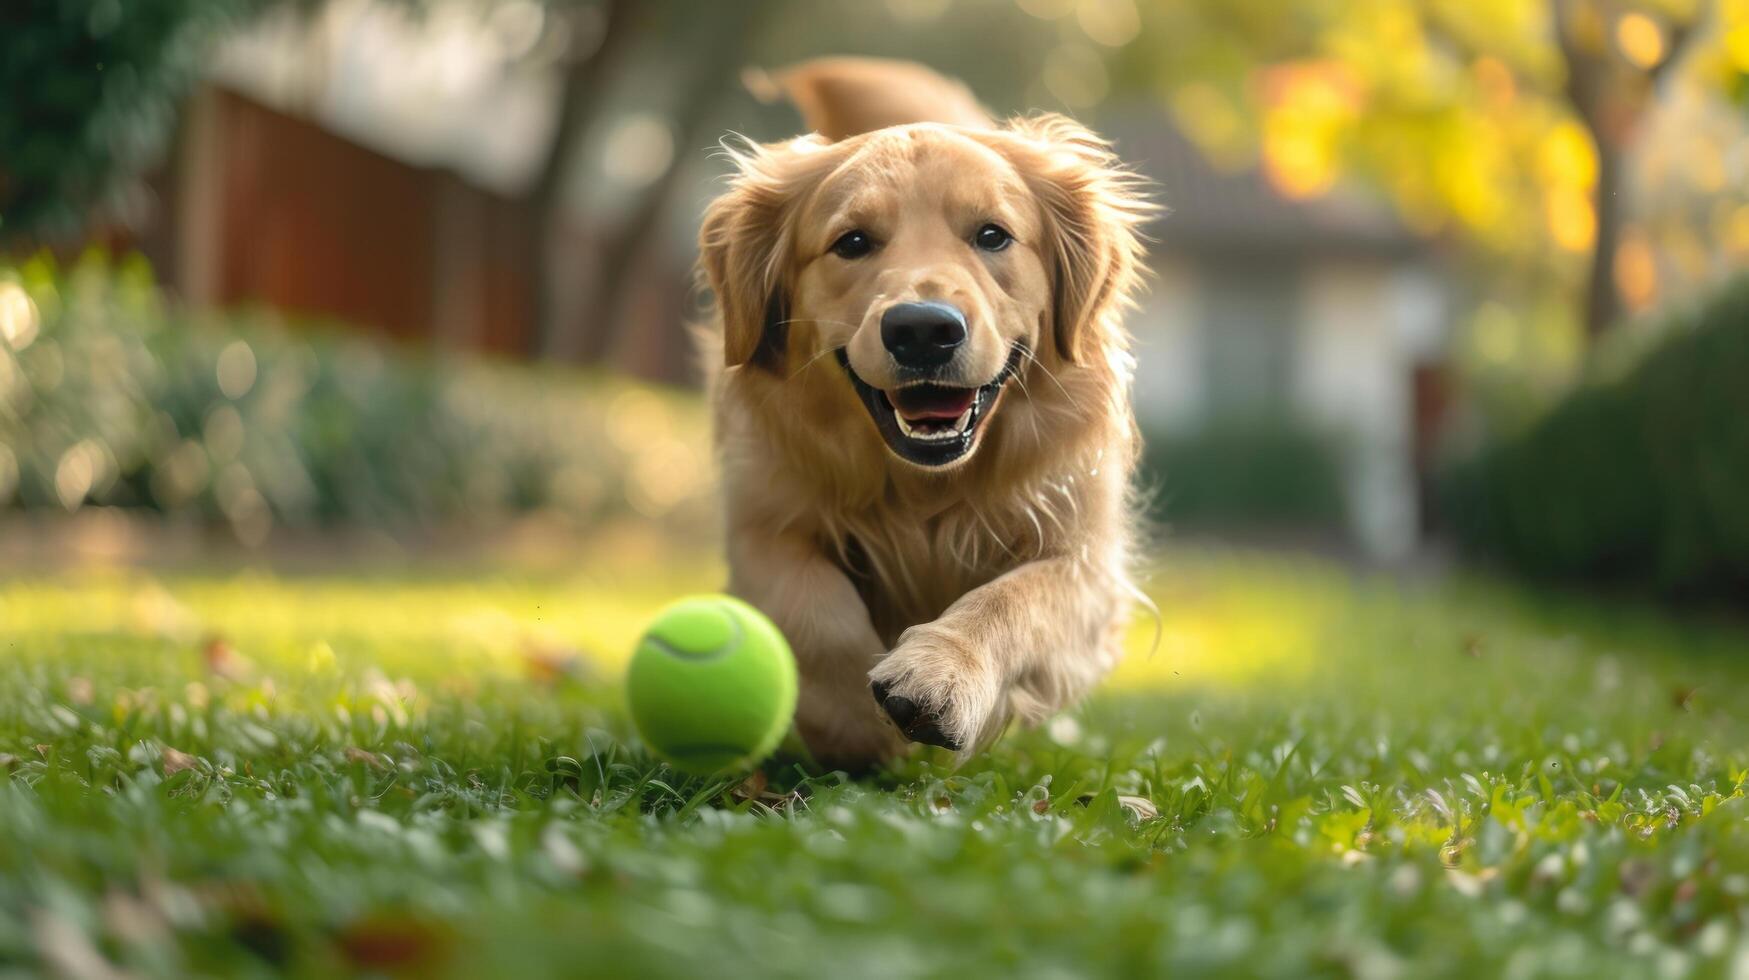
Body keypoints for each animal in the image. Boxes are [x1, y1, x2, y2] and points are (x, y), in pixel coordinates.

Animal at [689, 57, 1154, 773]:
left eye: (993, 235)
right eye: (852, 242)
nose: (923, 330)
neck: (923, 494)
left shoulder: (1083, 558)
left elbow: (1011, 599)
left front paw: (940, 675)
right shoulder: (763, 524)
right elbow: (814, 612)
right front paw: (858, 724)